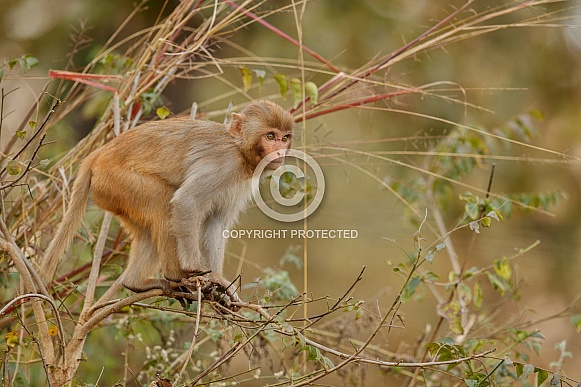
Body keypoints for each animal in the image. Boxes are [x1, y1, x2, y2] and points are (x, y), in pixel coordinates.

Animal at [39, 99, 294, 300]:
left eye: (284, 138)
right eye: (270, 136)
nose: (280, 152)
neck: (240, 151)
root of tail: (100, 154)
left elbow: (215, 223)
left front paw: (219, 281)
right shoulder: (223, 164)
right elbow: (187, 202)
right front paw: (194, 268)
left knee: (148, 226)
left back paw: (135, 282)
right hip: (116, 181)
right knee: (162, 202)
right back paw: (176, 275)